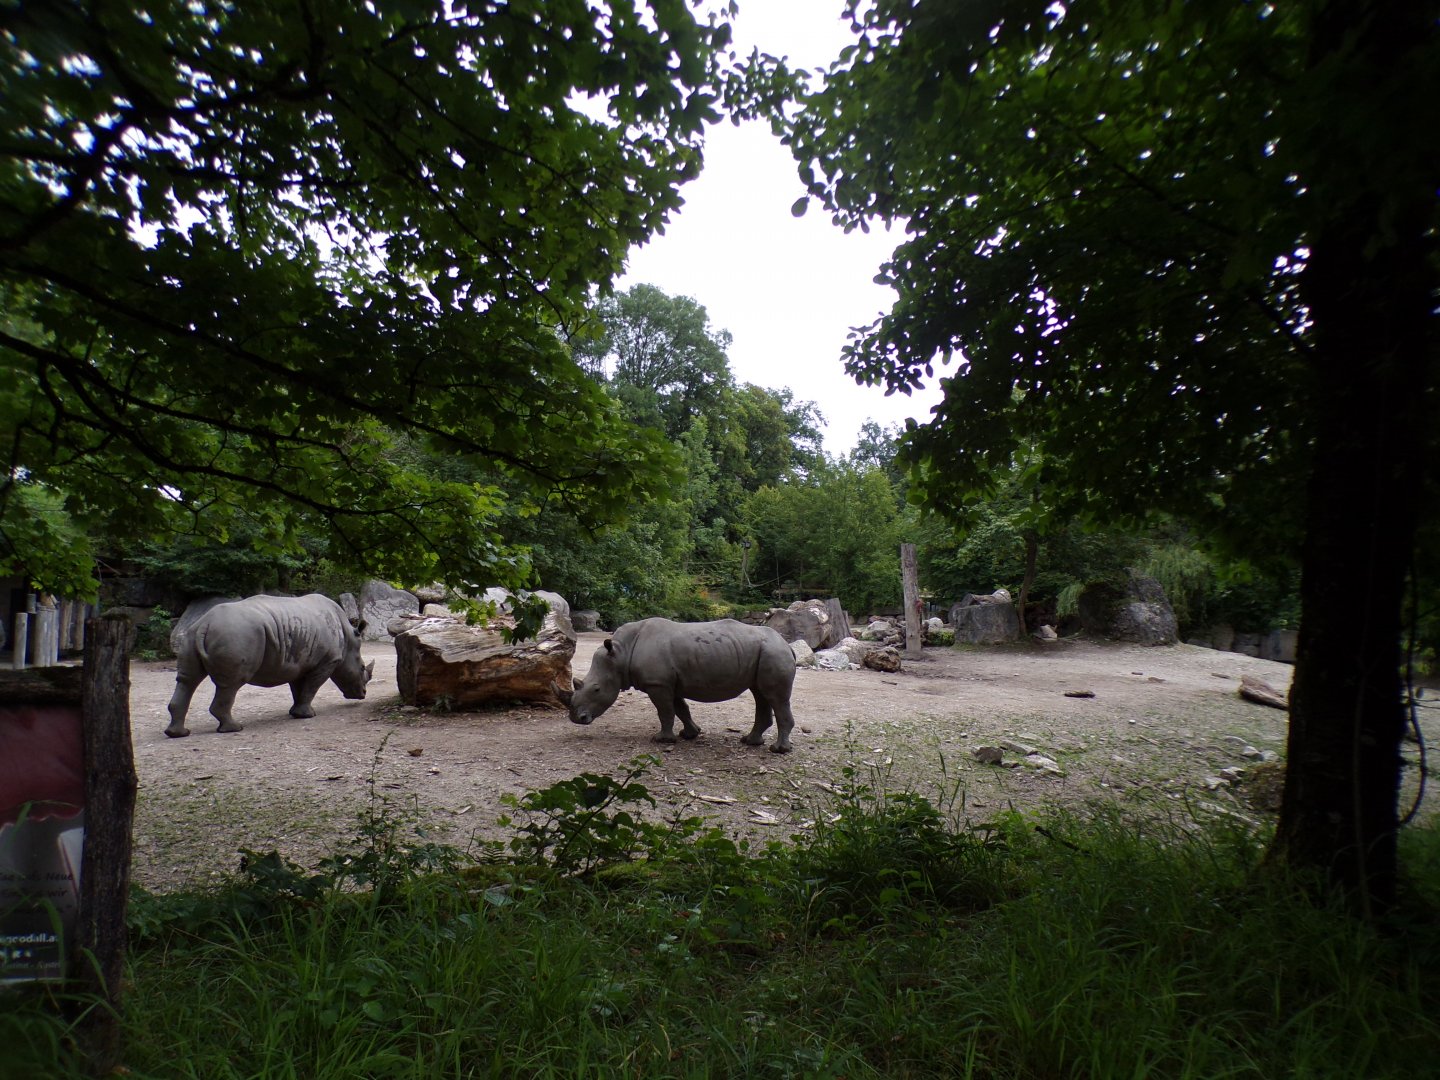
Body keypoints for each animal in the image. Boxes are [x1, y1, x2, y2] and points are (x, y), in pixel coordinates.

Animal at [164, 594, 375, 737]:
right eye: (362, 668)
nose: (363, 695)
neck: (349, 637)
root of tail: (205, 624)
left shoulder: (298, 662)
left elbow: (299, 689)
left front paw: (296, 714)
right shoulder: (328, 661)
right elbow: (312, 687)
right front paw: (309, 715)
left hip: (191, 636)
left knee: (187, 680)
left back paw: (178, 734)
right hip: (236, 634)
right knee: (230, 685)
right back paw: (234, 728)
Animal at [555, 617, 798, 753]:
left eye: (596, 689)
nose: (576, 719)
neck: (620, 653)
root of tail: (787, 644)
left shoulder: (658, 684)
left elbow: (665, 711)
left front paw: (661, 739)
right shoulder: (667, 682)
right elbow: (681, 708)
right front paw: (690, 734)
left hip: (774, 652)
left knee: (776, 697)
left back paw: (778, 750)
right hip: (764, 653)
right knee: (760, 694)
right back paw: (750, 742)